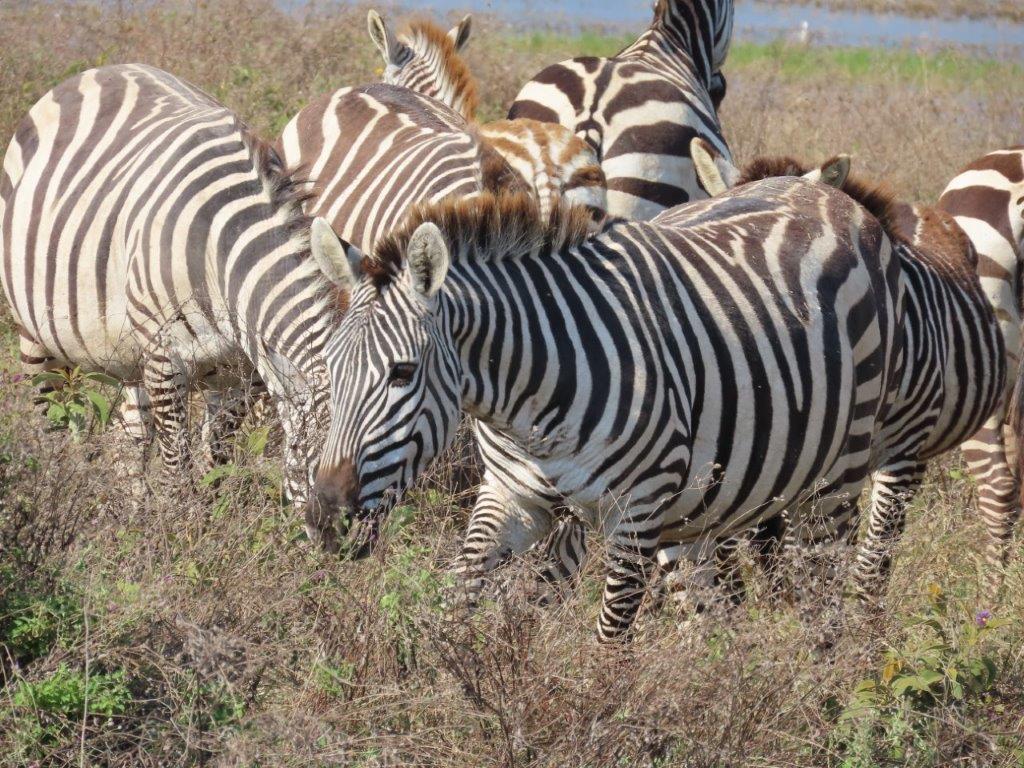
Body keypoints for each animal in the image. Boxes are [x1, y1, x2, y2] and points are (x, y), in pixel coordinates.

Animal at [0, 64, 349, 503]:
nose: (357, 528)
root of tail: (103, 69)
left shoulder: (240, 373)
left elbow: (215, 453)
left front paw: (208, 511)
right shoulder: (165, 356)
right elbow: (176, 464)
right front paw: (177, 516)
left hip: (128, 354)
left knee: (129, 435)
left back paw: (133, 507)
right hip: (37, 337)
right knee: (50, 422)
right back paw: (49, 490)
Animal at [304, 180, 903, 640]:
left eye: (402, 373)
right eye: (329, 367)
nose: (325, 520)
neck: (528, 408)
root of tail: (833, 195)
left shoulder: (636, 510)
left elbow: (611, 636)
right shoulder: (511, 496)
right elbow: (459, 593)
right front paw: (453, 689)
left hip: (836, 476)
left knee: (829, 584)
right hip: (707, 507)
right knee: (711, 615)